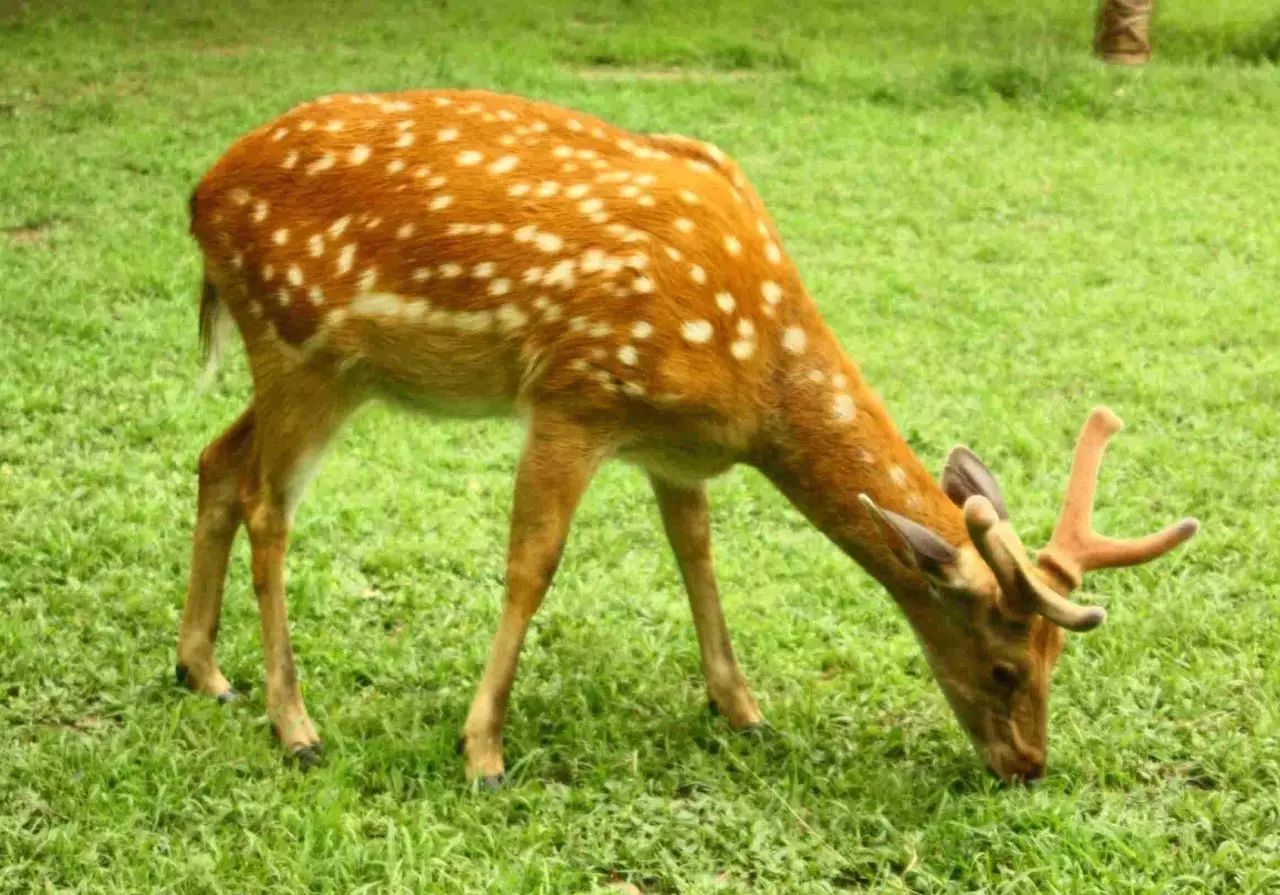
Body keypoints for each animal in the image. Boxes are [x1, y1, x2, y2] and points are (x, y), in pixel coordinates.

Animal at [183, 88, 1198, 783]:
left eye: (1056, 658)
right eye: (1003, 666)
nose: (1028, 764)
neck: (757, 380)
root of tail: (199, 198)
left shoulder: (669, 446)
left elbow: (697, 552)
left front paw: (742, 706)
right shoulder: (577, 394)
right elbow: (532, 566)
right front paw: (483, 751)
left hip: (327, 370)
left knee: (215, 460)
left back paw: (204, 670)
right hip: (300, 344)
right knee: (270, 503)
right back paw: (295, 723)